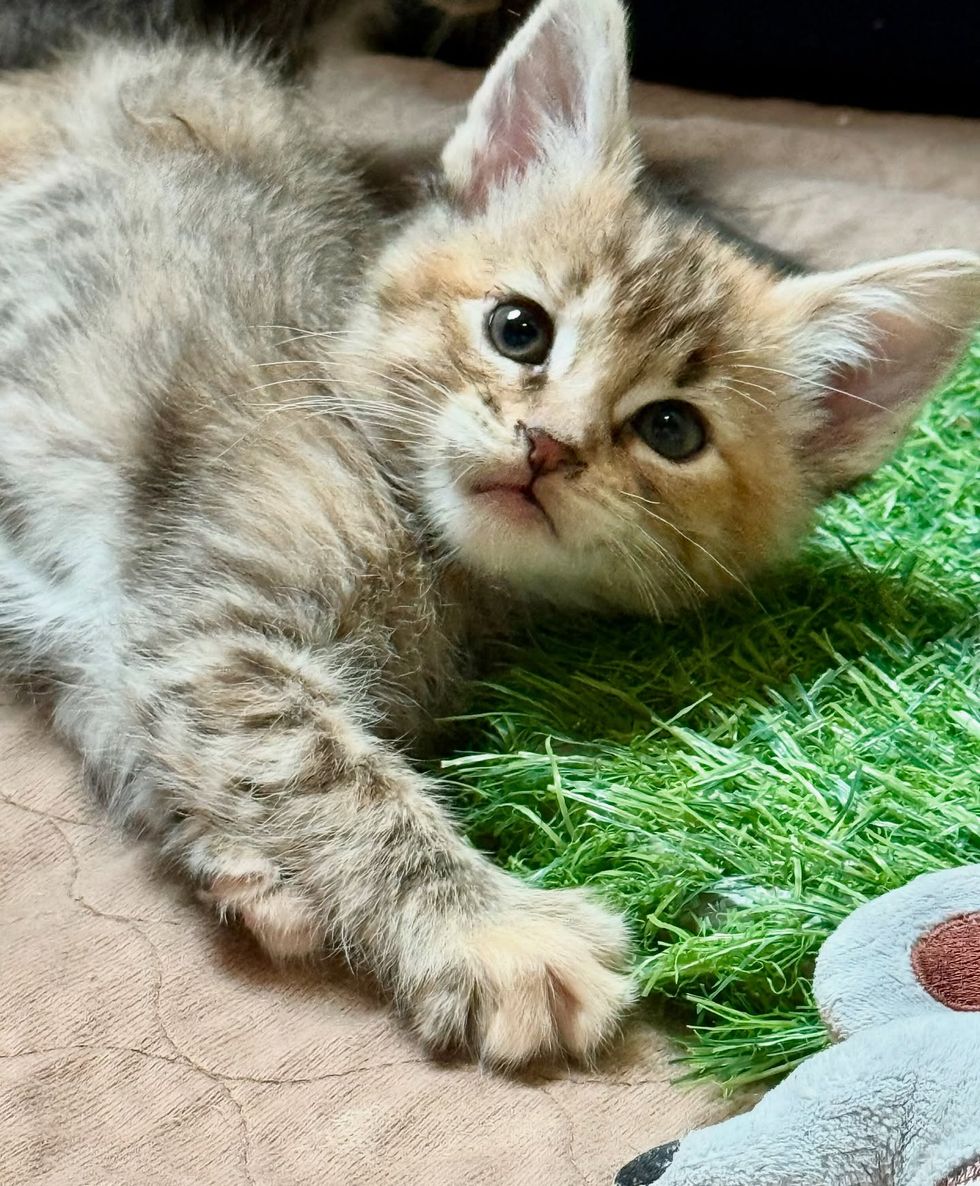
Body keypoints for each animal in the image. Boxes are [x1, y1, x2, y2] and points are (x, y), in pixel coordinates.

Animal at [1, 0, 977, 1072]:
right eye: (519, 328)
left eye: (671, 429)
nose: (547, 445)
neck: (436, 559)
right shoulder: (214, 624)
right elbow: (333, 780)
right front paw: (491, 933)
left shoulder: (147, 631)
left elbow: (130, 716)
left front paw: (244, 863)